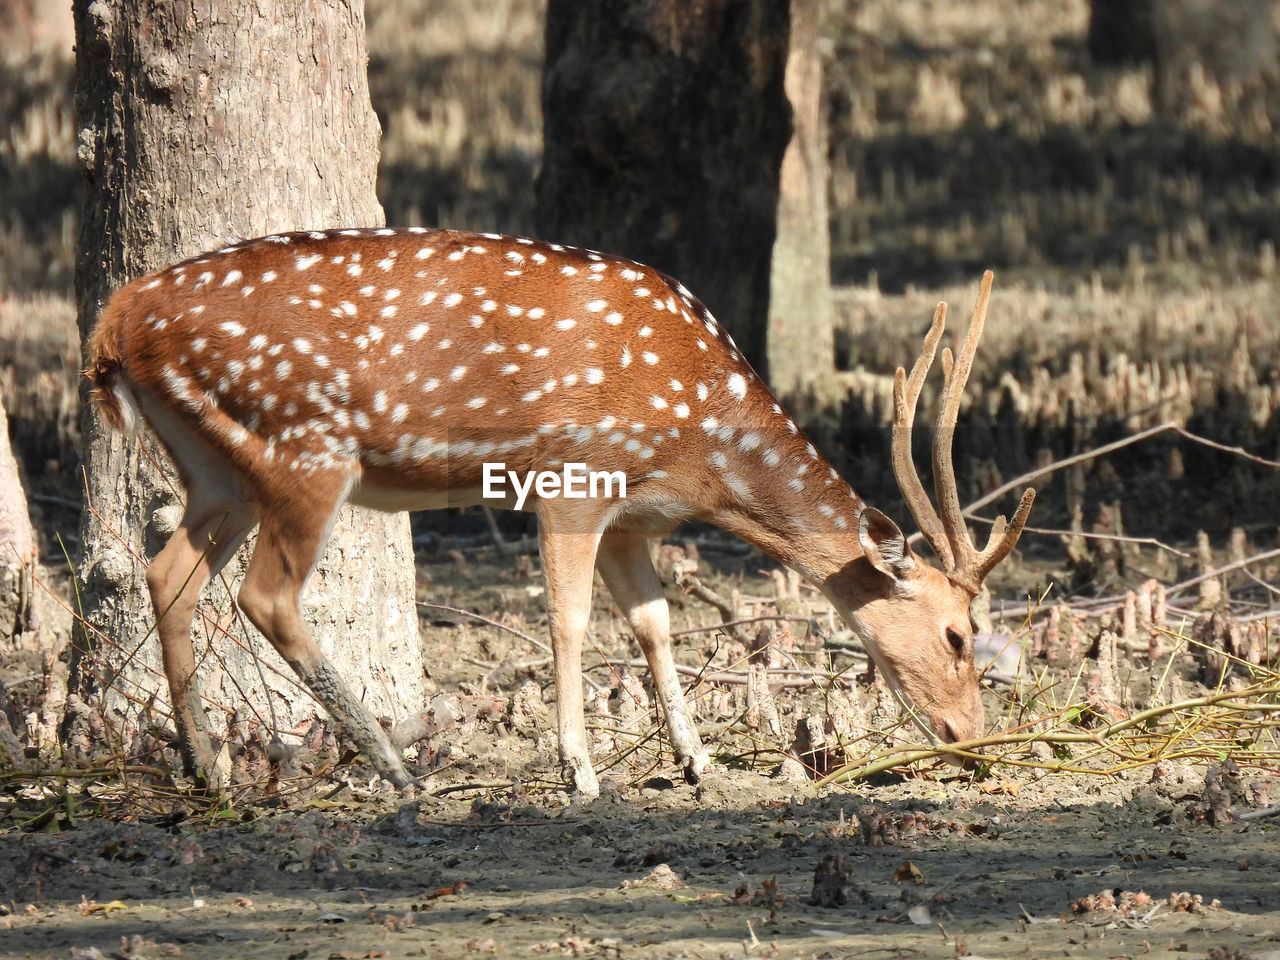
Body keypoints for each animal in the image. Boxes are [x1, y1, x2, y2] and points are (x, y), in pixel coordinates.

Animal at [85, 229, 1034, 798]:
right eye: (957, 634)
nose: (968, 736)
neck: (701, 443)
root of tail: (116, 318)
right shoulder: (573, 479)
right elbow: (571, 620)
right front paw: (580, 770)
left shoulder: (634, 518)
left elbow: (653, 623)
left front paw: (698, 761)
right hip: (305, 451)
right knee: (264, 595)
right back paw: (392, 768)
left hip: (219, 471)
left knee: (166, 573)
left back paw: (209, 768)